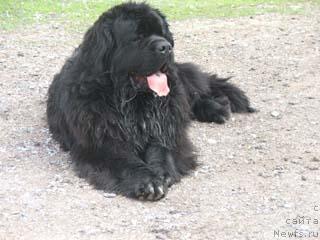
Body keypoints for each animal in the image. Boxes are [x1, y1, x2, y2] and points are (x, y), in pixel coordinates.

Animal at [46, 2, 255, 201]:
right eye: (137, 37)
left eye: (163, 34)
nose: (166, 47)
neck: (132, 102)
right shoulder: (102, 143)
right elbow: (124, 160)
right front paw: (147, 181)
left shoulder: (165, 126)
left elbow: (162, 148)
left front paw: (161, 172)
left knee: (192, 97)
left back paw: (217, 109)